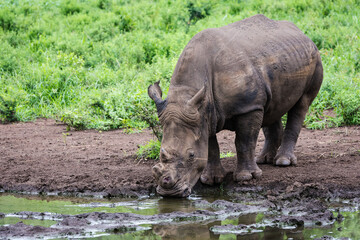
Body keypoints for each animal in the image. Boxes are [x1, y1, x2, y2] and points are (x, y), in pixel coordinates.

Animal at [148, 14, 322, 197]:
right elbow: (211, 146)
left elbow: (244, 141)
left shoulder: (248, 107)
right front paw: (211, 180)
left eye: (191, 155)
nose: (169, 193)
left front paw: (246, 177)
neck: (188, 91)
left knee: (301, 104)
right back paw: (264, 160)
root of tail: (301, 32)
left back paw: (283, 162)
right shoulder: (203, 113)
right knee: (271, 107)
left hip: (315, 58)